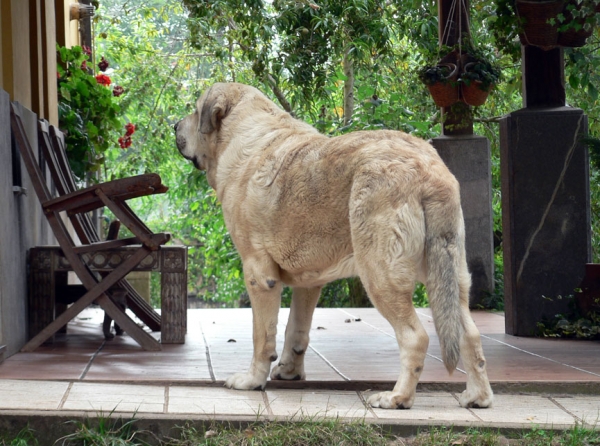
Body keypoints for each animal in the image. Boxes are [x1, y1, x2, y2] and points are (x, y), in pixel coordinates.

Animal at [173, 82, 492, 410]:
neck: (244, 133)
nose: (174, 126)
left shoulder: (258, 274)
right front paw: (288, 372)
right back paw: (477, 397)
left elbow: (262, 335)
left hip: (381, 273)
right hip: (451, 275)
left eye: (196, 111)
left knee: (415, 336)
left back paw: (397, 398)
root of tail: (428, 170)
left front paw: (252, 381)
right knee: (469, 334)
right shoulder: (309, 282)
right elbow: (296, 330)